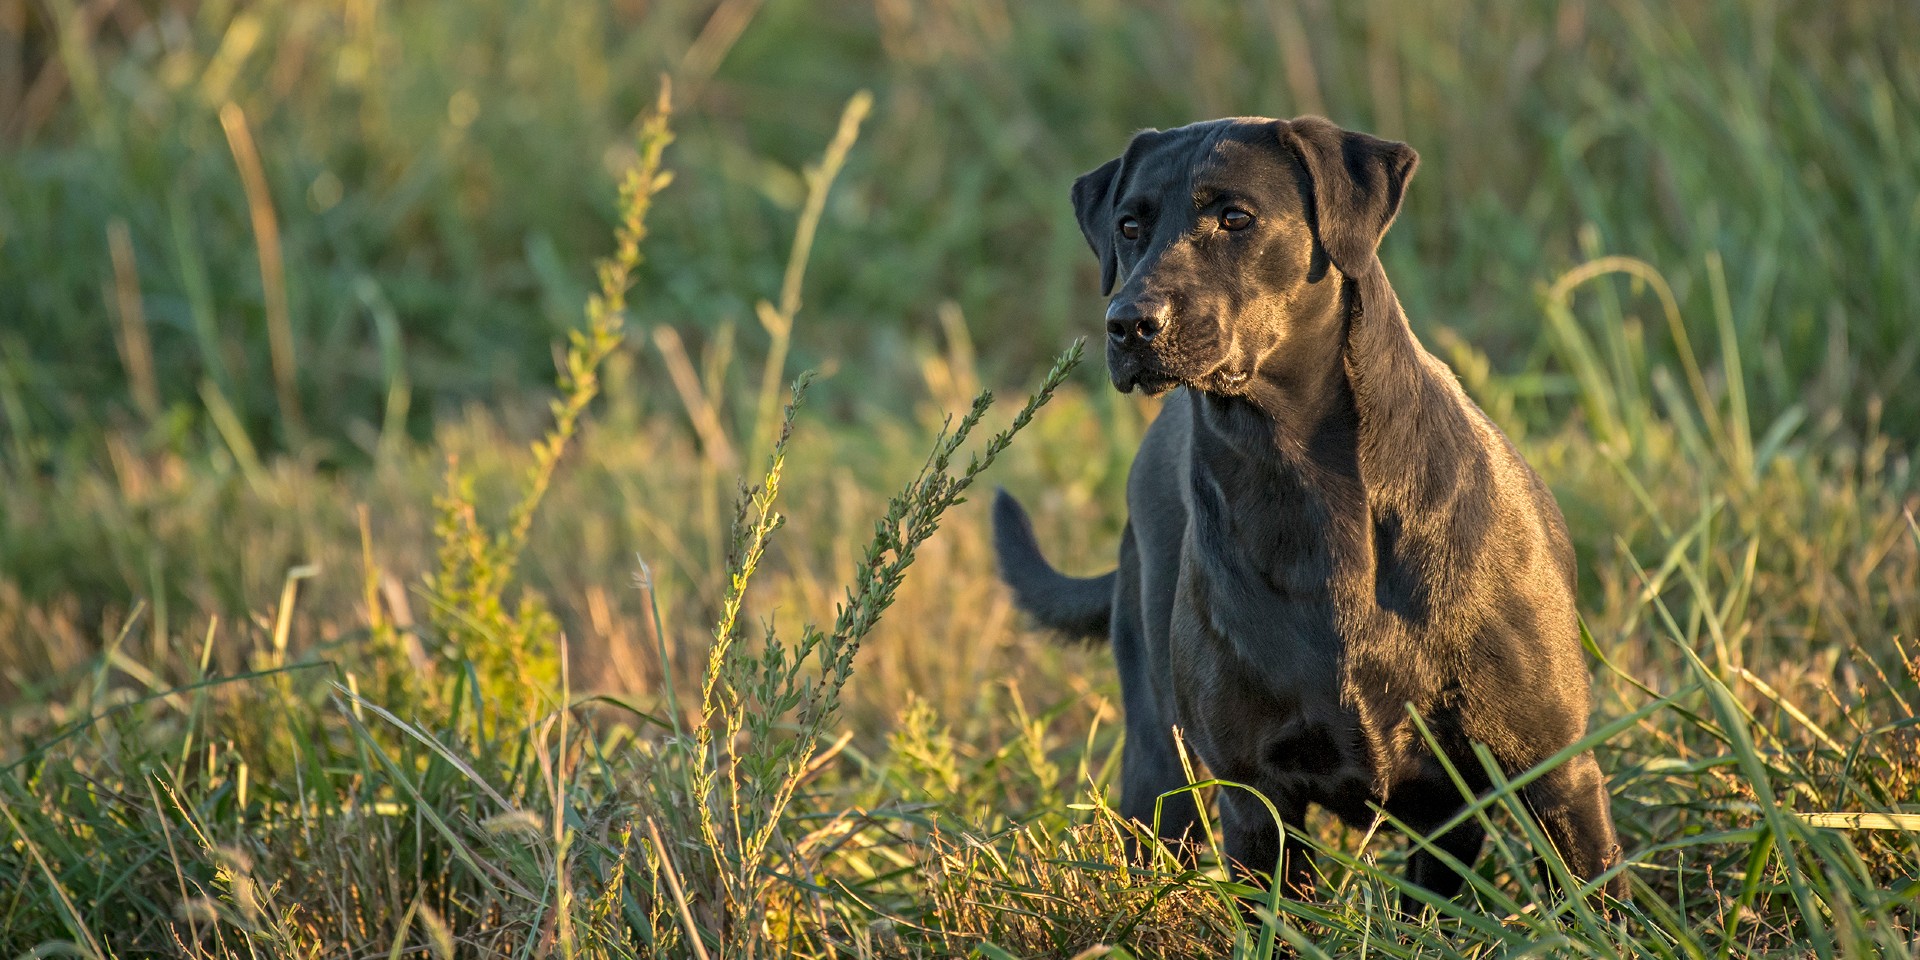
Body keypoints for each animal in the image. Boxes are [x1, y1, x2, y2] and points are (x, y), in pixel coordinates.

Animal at [998, 116, 1628, 902]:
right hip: (1159, 769)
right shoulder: (1259, 802)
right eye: (1129, 226)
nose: (1129, 323)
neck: (1303, 486)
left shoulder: (1556, 775)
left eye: (1236, 218)